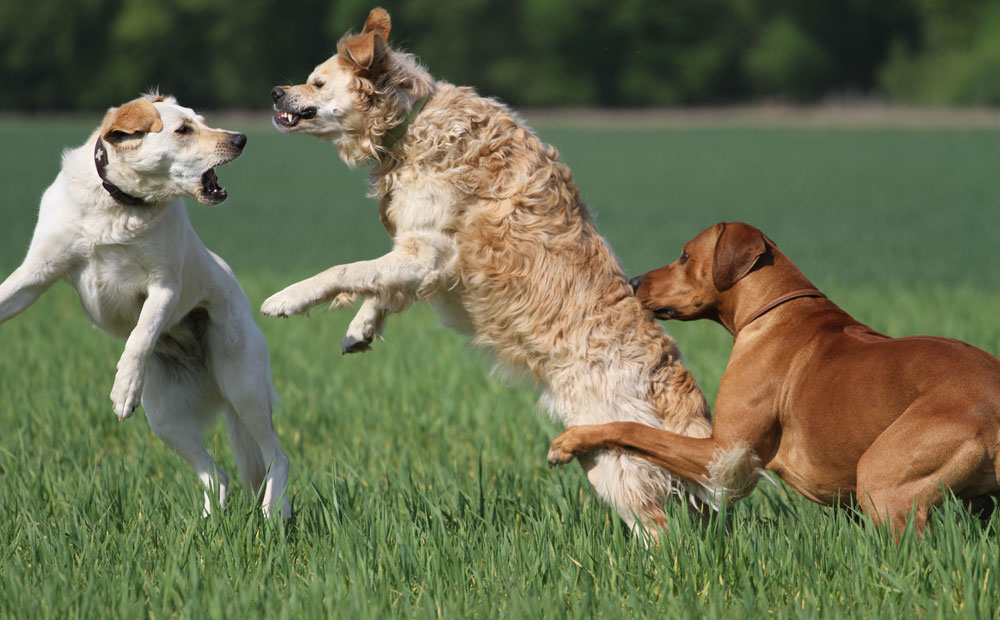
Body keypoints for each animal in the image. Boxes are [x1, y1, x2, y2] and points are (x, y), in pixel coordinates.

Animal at [0, 93, 290, 520]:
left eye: (203, 121)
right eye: (184, 130)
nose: (240, 138)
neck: (118, 204)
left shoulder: (164, 287)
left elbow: (141, 334)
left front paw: (123, 390)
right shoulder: (35, 275)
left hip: (243, 388)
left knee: (276, 458)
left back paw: (273, 514)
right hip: (166, 419)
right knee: (215, 473)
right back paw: (208, 527)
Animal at [262, 7, 708, 536]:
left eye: (317, 82)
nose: (275, 92)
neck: (409, 122)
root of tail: (669, 375)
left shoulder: (426, 252)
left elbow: (343, 270)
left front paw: (287, 298)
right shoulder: (420, 255)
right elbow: (379, 288)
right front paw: (360, 330)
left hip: (614, 457)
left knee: (661, 531)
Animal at [548, 222, 1000, 532]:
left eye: (684, 256)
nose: (633, 281)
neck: (774, 309)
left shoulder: (722, 452)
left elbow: (631, 429)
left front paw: (572, 440)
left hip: (883, 482)